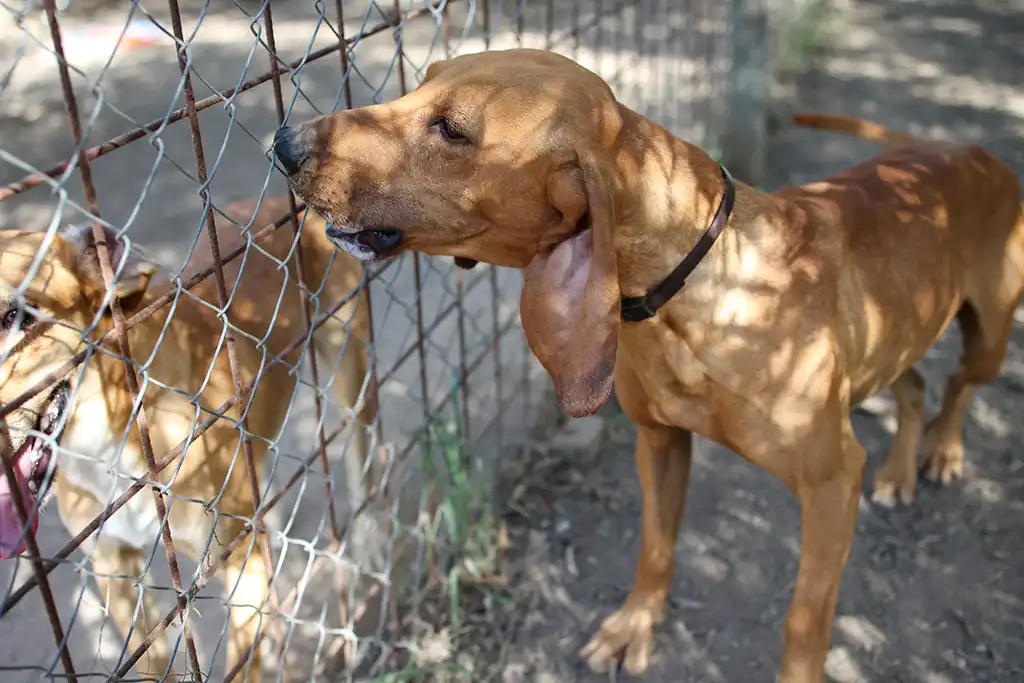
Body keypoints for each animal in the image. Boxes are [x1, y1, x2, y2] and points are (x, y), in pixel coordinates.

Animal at [271, 48, 1024, 681]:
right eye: (420, 80)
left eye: (452, 130)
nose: (284, 144)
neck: (695, 295)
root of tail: (960, 148)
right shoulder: (660, 443)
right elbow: (654, 550)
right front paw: (633, 628)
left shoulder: (832, 482)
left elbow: (805, 619)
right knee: (916, 384)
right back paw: (900, 470)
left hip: (987, 336)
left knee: (958, 385)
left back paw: (943, 453)